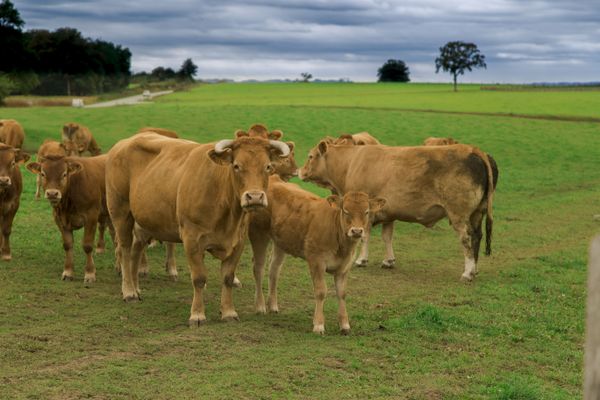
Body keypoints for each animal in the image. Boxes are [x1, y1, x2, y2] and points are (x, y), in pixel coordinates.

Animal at [26, 153, 112, 282]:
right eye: (43, 174)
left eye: (64, 174)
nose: (52, 193)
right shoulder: (60, 220)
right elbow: (67, 245)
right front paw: (68, 272)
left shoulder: (91, 217)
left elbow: (87, 245)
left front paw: (90, 273)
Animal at [106, 131, 292, 324]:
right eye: (236, 166)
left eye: (268, 166)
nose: (254, 197)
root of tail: (124, 143)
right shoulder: (192, 239)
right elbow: (199, 278)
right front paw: (197, 314)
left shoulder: (238, 241)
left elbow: (227, 277)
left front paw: (228, 312)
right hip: (120, 211)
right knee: (124, 249)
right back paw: (128, 292)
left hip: (144, 221)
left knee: (136, 250)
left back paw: (136, 288)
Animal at [248, 175, 384, 334]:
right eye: (345, 211)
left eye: (367, 211)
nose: (357, 231)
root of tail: (273, 179)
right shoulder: (316, 261)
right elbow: (320, 291)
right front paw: (318, 325)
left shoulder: (344, 266)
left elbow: (342, 293)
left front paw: (345, 325)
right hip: (258, 234)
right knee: (258, 268)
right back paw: (260, 306)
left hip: (280, 241)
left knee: (274, 269)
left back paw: (273, 306)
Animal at [298, 141, 496, 282]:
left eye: (310, 156)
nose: (300, 171)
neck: (350, 163)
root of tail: (473, 150)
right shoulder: (388, 213)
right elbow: (387, 237)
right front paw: (389, 260)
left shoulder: (367, 212)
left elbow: (365, 236)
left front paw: (362, 260)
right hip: (477, 213)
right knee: (477, 236)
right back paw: (475, 269)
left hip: (459, 215)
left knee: (467, 239)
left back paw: (467, 272)